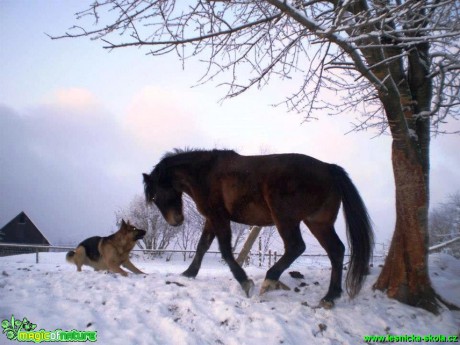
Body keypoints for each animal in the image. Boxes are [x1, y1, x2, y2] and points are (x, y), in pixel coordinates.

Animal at [142, 148, 372, 306]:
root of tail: (329, 168)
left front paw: (245, 282)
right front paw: (188, 273)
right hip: (318, 223)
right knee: (336, 250)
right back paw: (330, 296)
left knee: (296, 247)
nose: (175, 221)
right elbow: (202, 246)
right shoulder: (211, 219)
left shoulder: (219, 217)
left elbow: (225, 251)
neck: (205, 174)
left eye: (155, 195)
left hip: (285, 218)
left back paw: (269, 280)